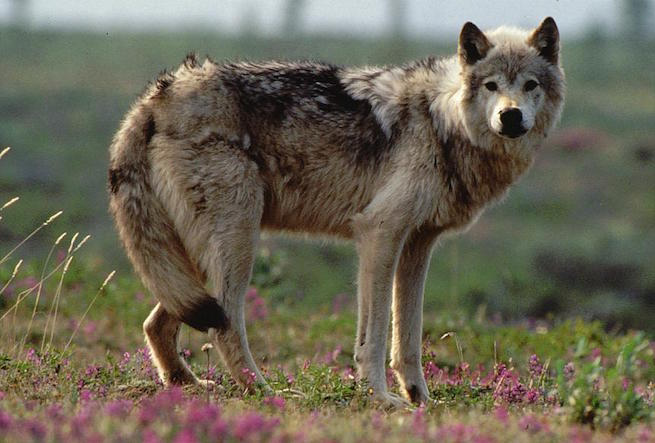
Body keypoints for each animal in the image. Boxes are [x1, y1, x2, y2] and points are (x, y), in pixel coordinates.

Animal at [108, 17, 564, 408]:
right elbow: (375, 337)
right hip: (238, 243)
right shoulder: (379, 234)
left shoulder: (418, 245)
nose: (510, 116)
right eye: (491, 85)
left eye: (530, 85)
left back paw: (187, 385)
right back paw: (264, 391)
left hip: (197, 262)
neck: (442, 121)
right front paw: (381, 398)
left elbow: (409, 338)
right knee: (224, 327)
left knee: (159, 323)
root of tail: (159, 93)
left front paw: (421, 399)